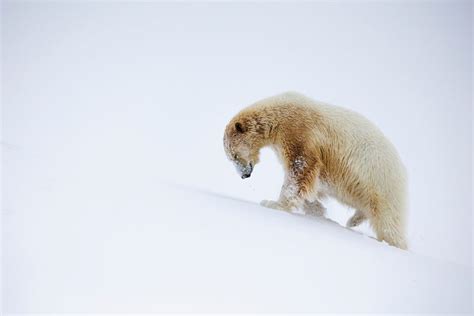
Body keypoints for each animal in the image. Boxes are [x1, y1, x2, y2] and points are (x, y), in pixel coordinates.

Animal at [223, 91, 408, 249]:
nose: (244, 175)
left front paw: (274, 204)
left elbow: (300, 170)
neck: (278, 114)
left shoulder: (299, 130)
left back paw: (393, 243)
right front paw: (317, 210)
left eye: (234, 155)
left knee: (388, 221)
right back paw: (352, 220)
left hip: (381, 182)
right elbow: (312, 183)